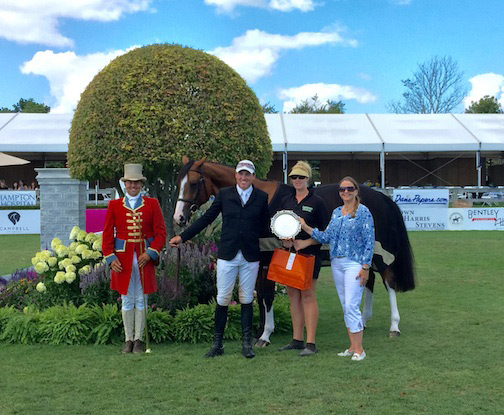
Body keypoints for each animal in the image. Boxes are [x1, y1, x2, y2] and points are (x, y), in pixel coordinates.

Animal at [173, 156, 414, 344]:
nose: (179, 218)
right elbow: (259, 294)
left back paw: (394, 326)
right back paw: (362, 321)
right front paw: (260, 331)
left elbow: (267, 295)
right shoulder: (259, 260)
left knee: (388, 282)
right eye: (178, 182)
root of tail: (381, 197)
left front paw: (265, 335)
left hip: (379, 253)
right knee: (369, 280)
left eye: (193, 183)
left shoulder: (269, 259)